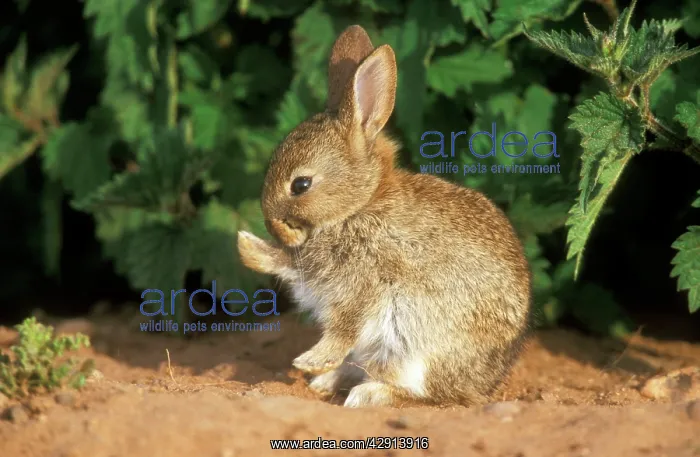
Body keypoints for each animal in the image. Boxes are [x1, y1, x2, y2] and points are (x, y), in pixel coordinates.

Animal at [236, 25, 533, 408]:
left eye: (301, 185)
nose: (273, 226)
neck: (358, 207)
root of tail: (487, 384)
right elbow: (286, 265)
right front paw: (246, 246)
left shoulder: (368, 282)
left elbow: (345, 325)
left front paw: (310, 360)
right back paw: (327, 383)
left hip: (418, 353)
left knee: (426, 395)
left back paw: (364, 394)